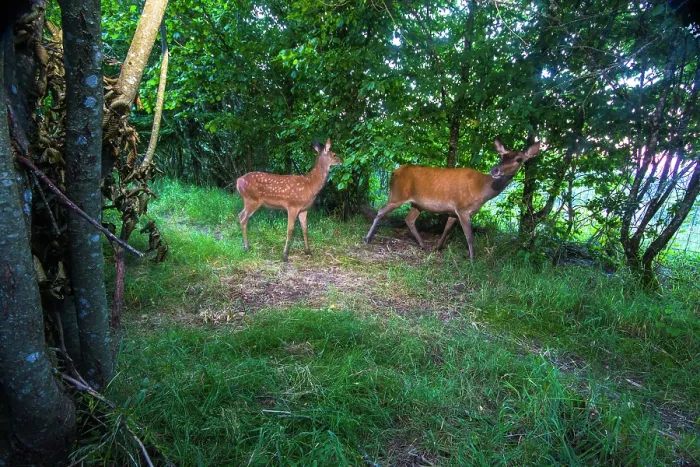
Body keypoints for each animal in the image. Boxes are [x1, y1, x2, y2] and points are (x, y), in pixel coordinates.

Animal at [364, 139, 541, 261]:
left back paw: (423, 245)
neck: (481, 190)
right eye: (502, 155)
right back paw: (367, 238)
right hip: (397, 195)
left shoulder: (453, 211)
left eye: (519, 159)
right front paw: (472, 260)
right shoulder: (463, 208)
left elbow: (447, 229)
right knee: (381, 211)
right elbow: (469, 236)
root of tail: (394, 172)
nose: (495, 170)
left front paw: (438, 247)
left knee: (409, 219)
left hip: (416, 203)